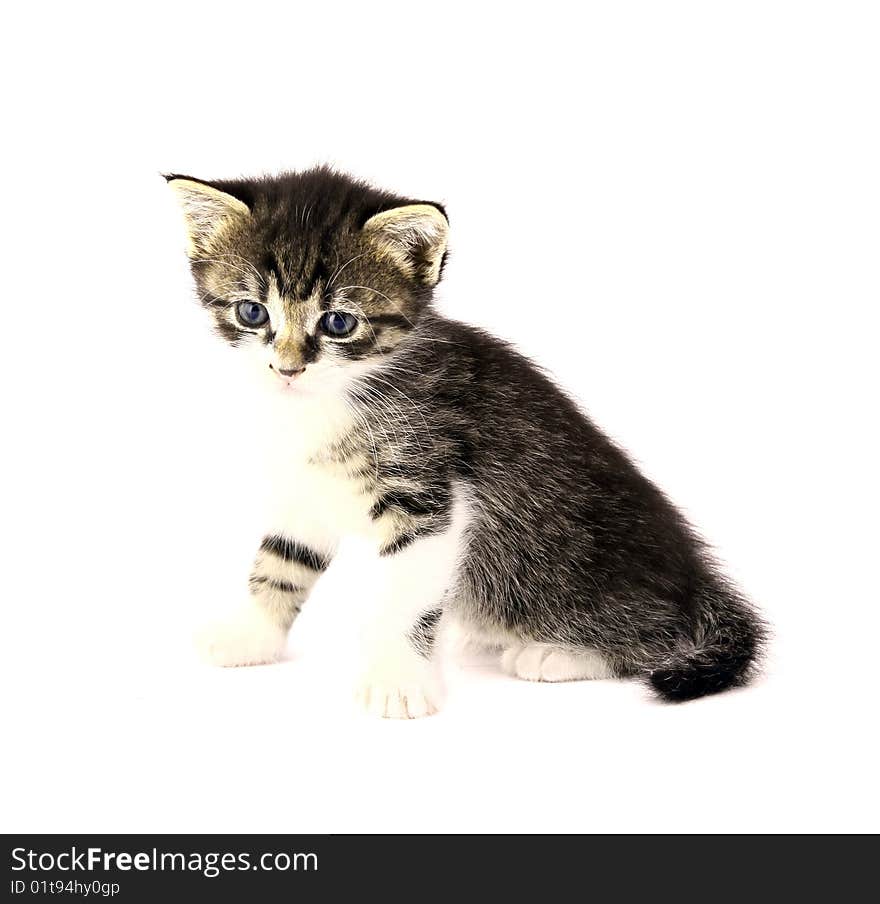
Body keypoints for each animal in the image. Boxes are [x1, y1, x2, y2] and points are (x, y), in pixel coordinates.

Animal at [165, 166, 764, 716]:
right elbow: (281, 561)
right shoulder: (304, 489)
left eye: (338, 322)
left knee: (653, 636)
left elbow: (406, 595)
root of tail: (695, 578)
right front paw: (252, 633)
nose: (287, 369)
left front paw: (398, 678)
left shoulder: (430, 489)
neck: (338, 394)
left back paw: (556, 653)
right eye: (252, 312)